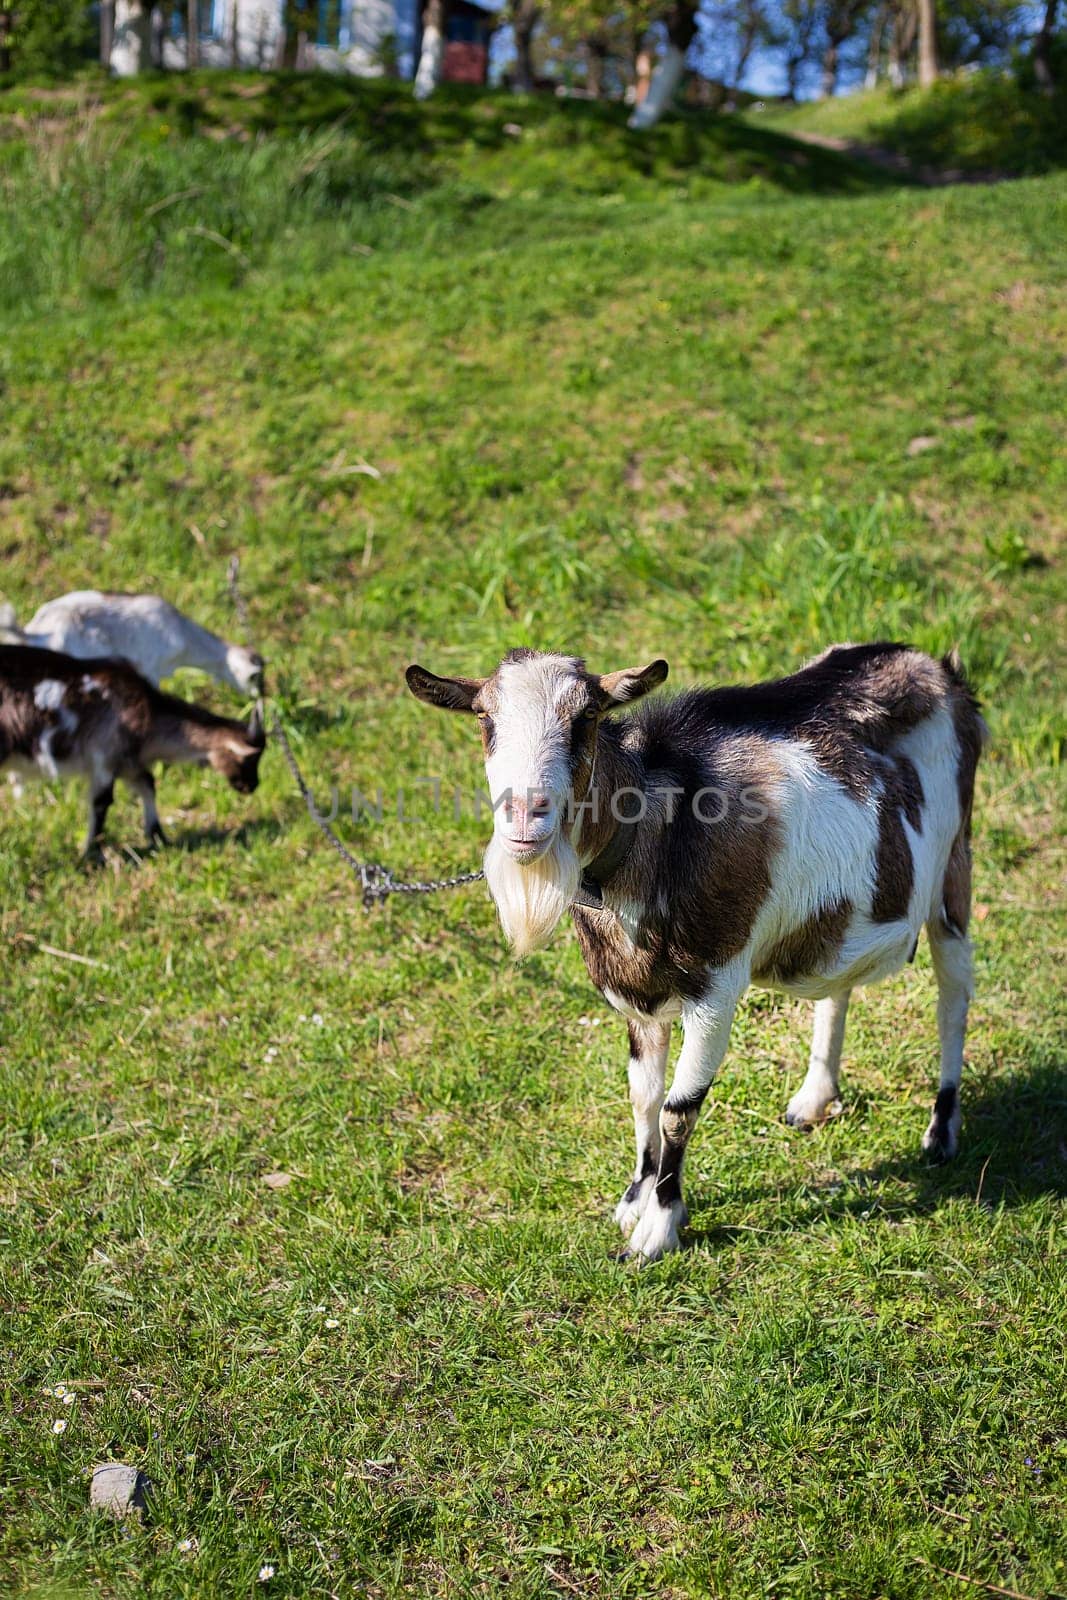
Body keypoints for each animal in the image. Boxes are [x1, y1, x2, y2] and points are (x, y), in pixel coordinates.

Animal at [0, 643, 267, 857]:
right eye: (250, 759)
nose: (253, 786)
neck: (149, 715)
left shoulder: (128, 763)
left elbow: (147, 784)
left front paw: (158, 837)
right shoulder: (105, 756)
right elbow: (101, 803)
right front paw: (92, 853)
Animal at [409, 640, 985, 1260]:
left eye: (586, 717)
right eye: (484, 718)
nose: (524, 813)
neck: (659, 833)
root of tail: (935, 666)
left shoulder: (716, 988)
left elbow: (677, 1110)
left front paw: (657, 1230)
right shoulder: (635, 995)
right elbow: (642, 1096)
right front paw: (634, 1199)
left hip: (954, 869)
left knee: (953, 996)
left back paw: (941, 1131)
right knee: (837, 987)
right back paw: (812, 1099)